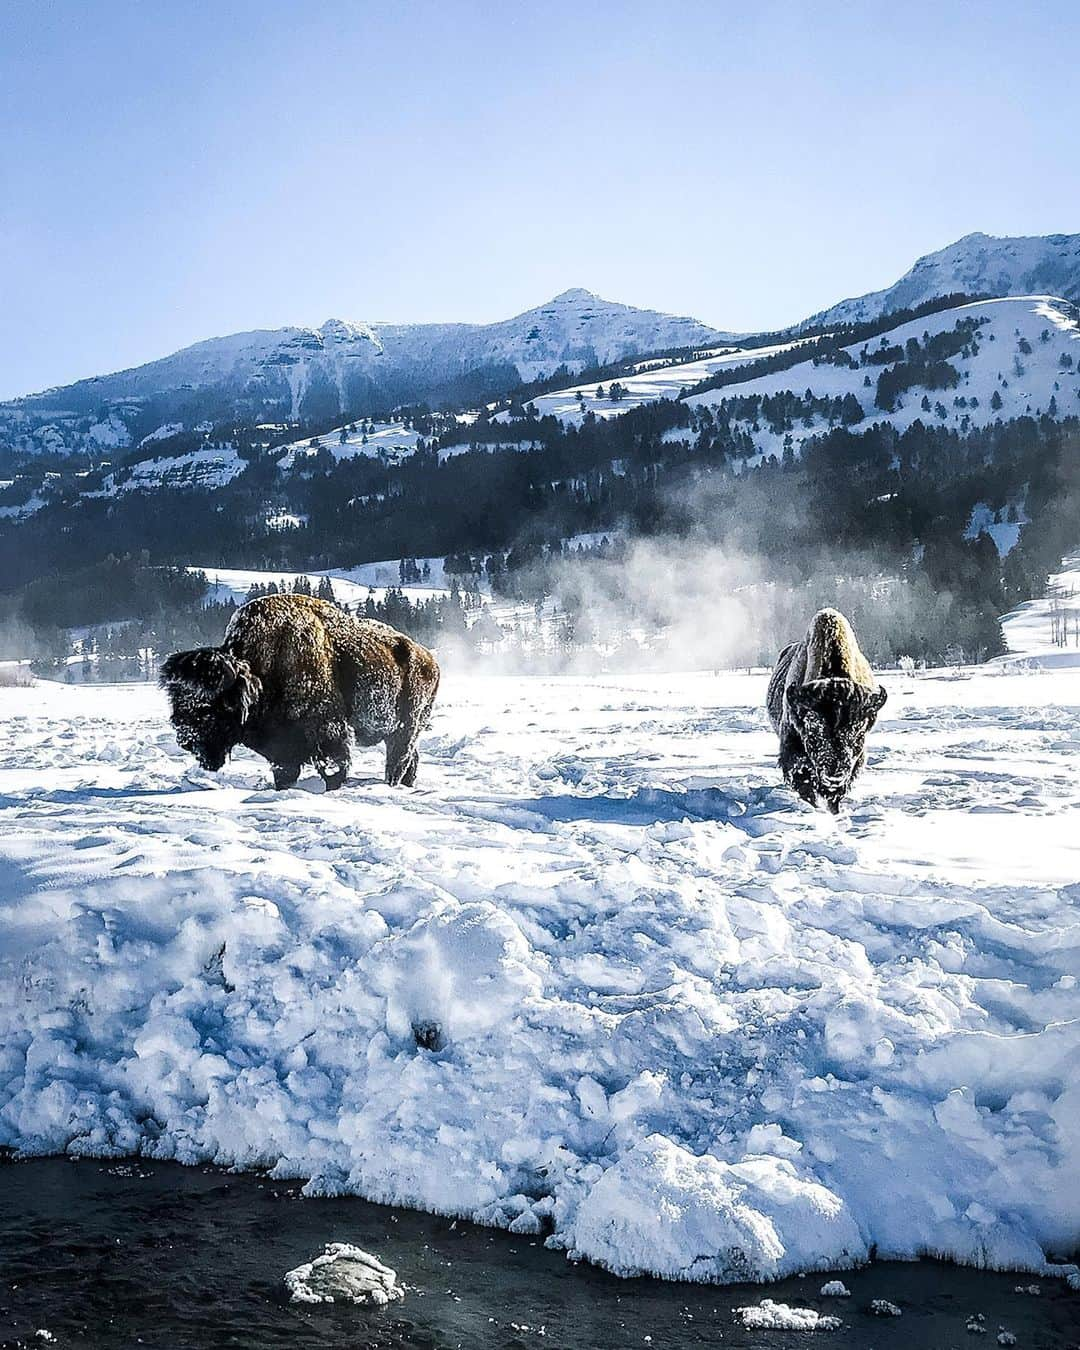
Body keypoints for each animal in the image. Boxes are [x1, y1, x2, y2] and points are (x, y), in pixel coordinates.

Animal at [160, 594, 437, 788]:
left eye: (211, 704)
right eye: (175, 697)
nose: (185, 737)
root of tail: (429, 659)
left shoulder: (329, 733)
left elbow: (334, 767)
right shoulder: (282, 749)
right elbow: (285, 772)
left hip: (406, 728)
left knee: (399, 760)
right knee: (410, 759)